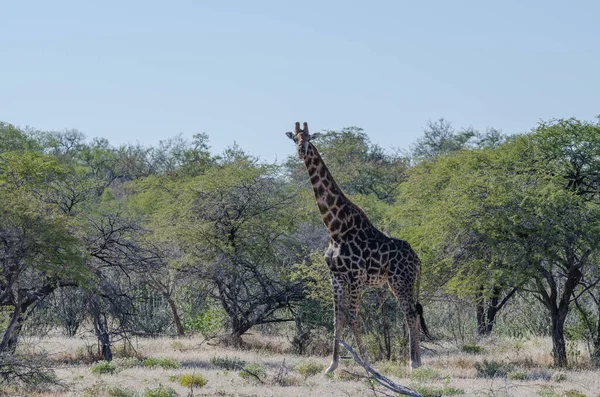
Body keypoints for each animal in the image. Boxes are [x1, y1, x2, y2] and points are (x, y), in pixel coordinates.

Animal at [284, 120, 426, 372]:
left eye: (309, 138)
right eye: (295, 139)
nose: (301, 151)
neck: (336, 229)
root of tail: (417, 260)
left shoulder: (357, 276)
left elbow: (352, 317)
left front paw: (367, 364)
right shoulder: (336, 276)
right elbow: (337, 319)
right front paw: (331, 365)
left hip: (400, 280)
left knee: (411, 313)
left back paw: (413, 363)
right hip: (398, 282)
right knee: (414, 313)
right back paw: (416, 361)